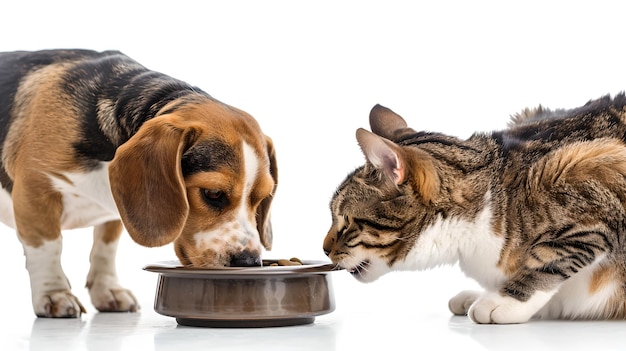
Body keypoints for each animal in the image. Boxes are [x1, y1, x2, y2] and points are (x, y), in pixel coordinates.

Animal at [0, 50, 276, 320]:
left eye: (261, 198)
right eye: (213, 193)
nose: (249, 262)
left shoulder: (114, 212)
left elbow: (104, 249)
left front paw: (107, 289)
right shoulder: (35, 190)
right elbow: (48, 248)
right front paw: (54, 294)